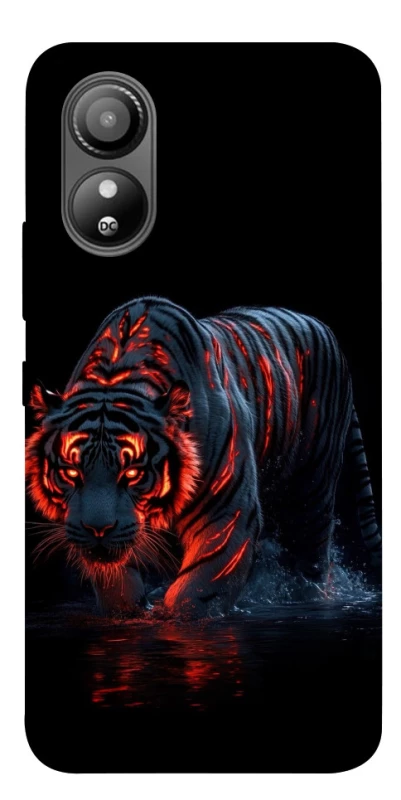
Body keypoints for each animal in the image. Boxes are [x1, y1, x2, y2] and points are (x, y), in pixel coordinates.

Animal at [26, 296, 381, 617]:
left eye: (132, 474)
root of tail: (323, 327)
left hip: (312, 491)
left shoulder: (226, 511)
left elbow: (200, 587)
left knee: (312, 560)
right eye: (72, 473)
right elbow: (116, 584)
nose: (98, 531)